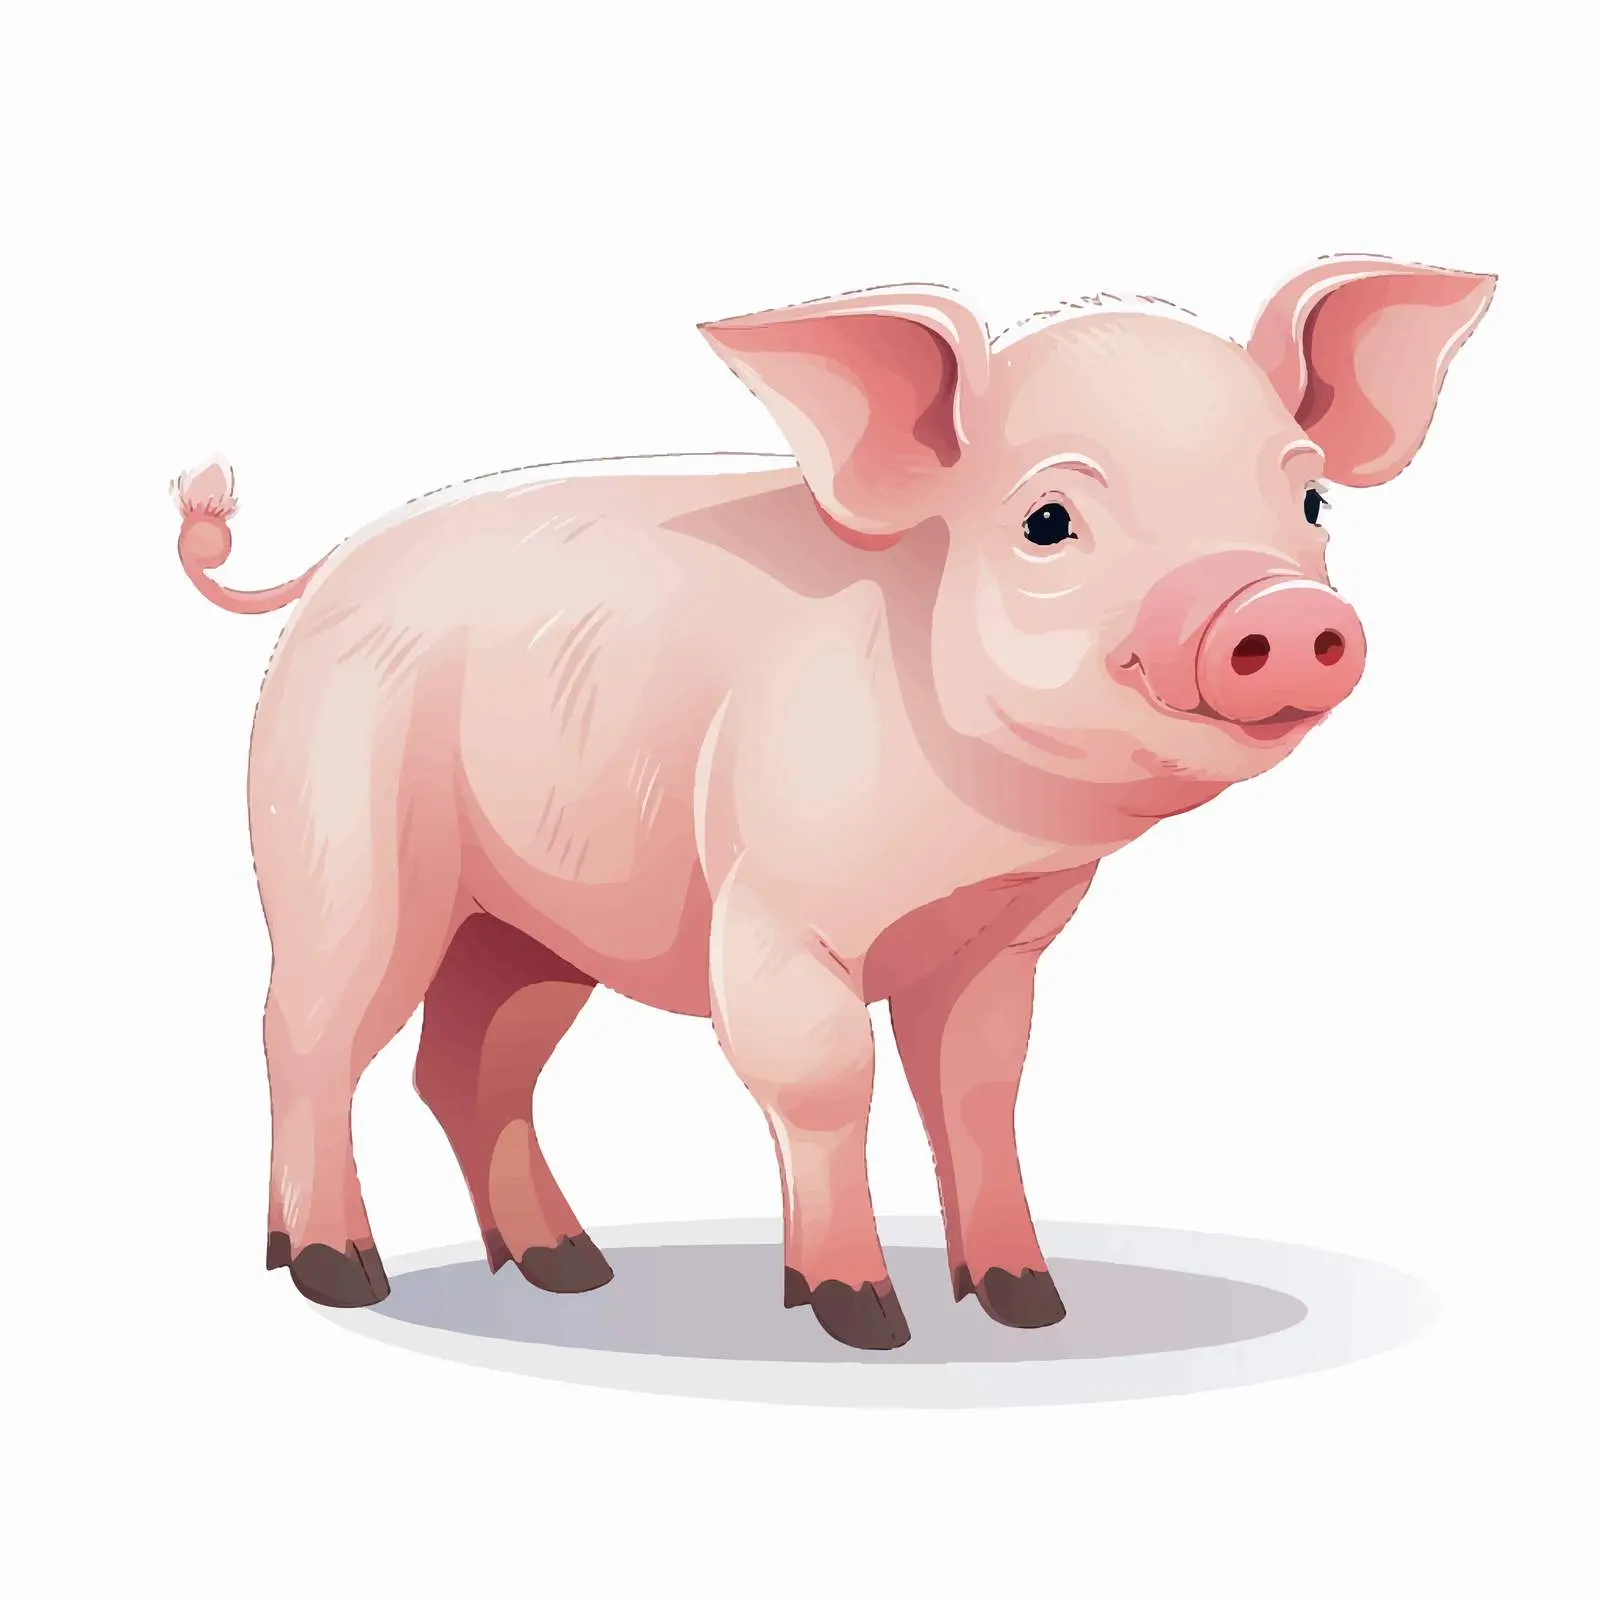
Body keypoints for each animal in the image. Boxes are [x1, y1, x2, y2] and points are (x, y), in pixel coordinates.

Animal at [175, 254, 1492, 1350]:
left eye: (1311, 506)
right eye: (1048, 520)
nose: (1278, 606)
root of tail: (331, 566)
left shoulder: (1000, 940)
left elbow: (978, 1090)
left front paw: (1030, 1305)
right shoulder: (773, 904)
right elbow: (824, 1078)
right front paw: (865, 1318)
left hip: (532, 923)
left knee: (466, 1063)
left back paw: (570, 1270)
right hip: (341, 845)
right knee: (308, 1034)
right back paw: (338, 1272)